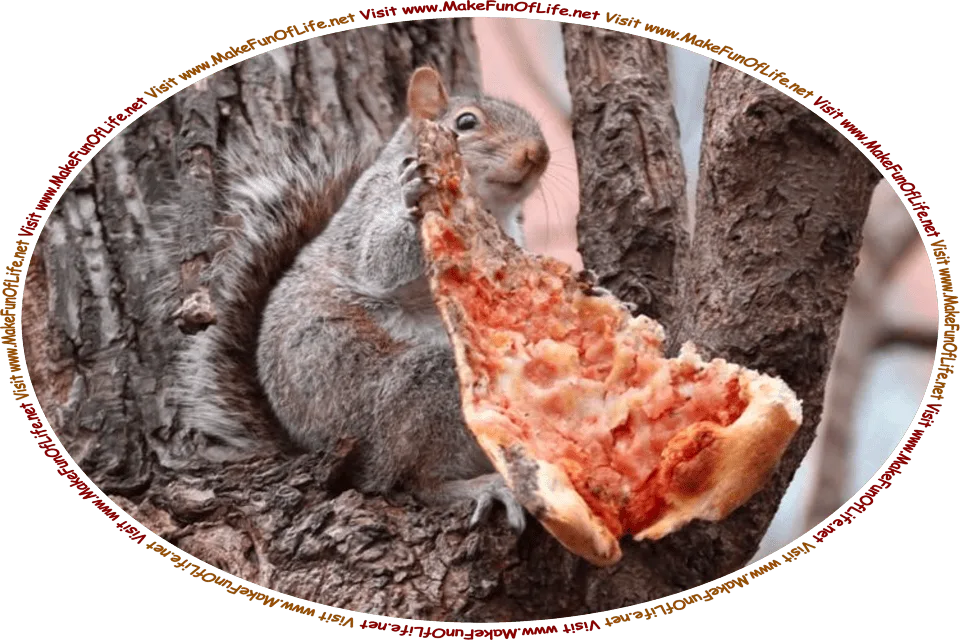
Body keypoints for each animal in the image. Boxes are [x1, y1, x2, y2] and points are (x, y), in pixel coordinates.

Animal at [158, 67, 550, 532]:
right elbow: (380, 259)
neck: (489, 211)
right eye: (467, 122)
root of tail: (309, 441)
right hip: (421, 393)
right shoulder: (371, 209)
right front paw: (416, 197)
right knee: (412, 480)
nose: (537, 153)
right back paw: (478, 487)